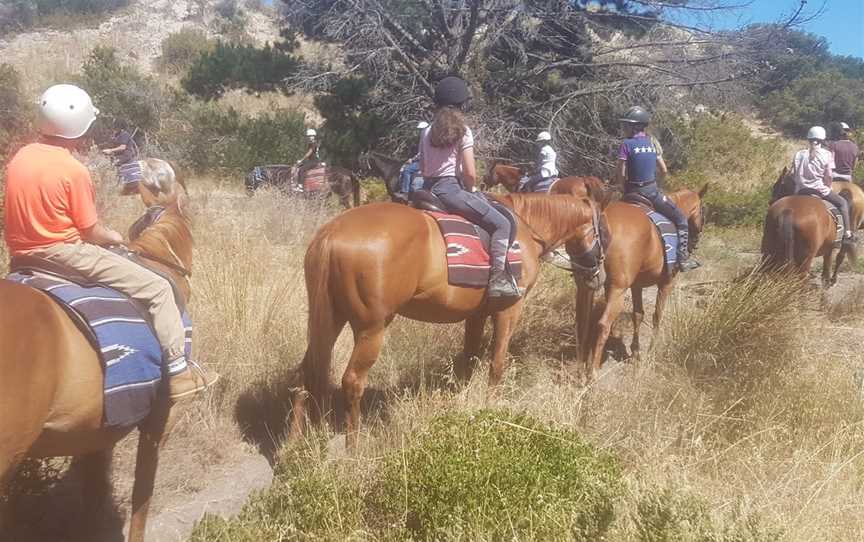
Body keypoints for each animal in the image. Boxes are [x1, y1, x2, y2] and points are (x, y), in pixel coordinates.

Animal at [290, 193, 608, 448]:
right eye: (604, 232)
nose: (599, 277)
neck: (528, 229)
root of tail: (333, 231)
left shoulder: (476, 315)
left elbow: (469, 362)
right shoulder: (510, 310)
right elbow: (496, 365)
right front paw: (491, 409)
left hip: (331, 320)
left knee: (305, 372)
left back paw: (294, 442)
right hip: (372, 329)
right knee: (353, 381)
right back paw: (353, 446)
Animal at [572, 187, 708, 382]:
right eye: (703, 212)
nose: (695, 241)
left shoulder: (636, 285)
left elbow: (638, 315)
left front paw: (635, 351)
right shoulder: (667, 283)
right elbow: (657, 316)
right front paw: (651, 351)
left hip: (585, 285)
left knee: (582, 321)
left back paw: (580, 366)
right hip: (617, 290)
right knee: (603, 324)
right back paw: (593, 373)